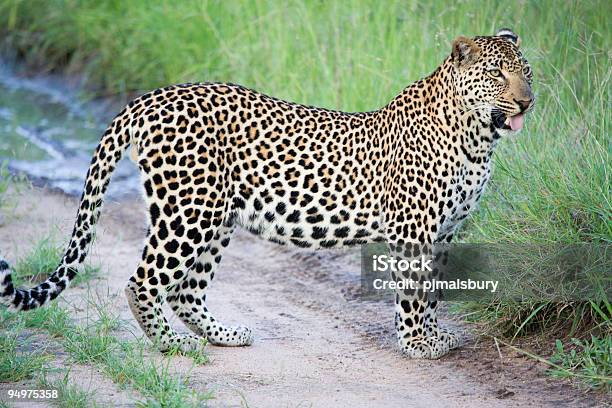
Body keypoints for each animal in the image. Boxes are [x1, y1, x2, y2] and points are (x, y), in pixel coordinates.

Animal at [0, 28, 532, 358]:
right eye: (496, 75)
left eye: (526, 71)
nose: (528, 100)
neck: (477, 138)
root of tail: (151, 97)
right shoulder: (414, 230)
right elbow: (415, 294)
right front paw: (419, 345)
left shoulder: (446, 231)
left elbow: (434, 291)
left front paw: (435, 335)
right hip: (188, 212)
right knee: (143, 281)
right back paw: (173, 345)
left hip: (216, 214)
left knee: (187, 290)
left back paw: (225, 335)